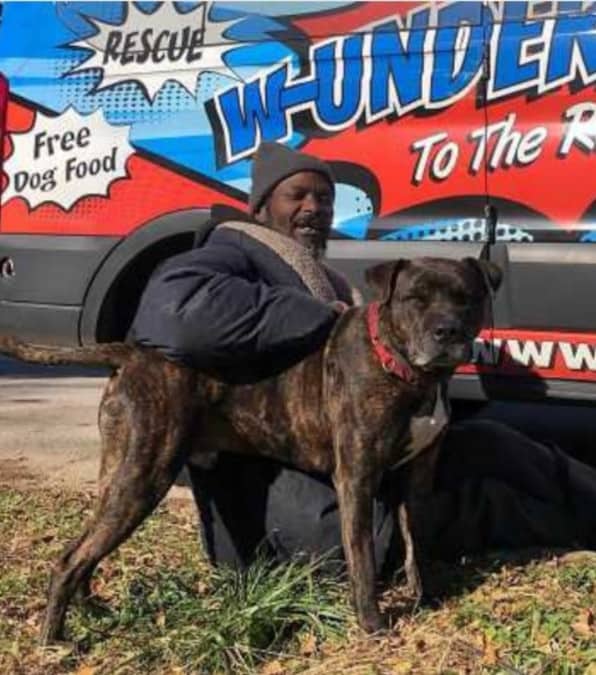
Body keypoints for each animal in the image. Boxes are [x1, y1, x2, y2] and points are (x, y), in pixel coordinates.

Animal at [0, 256, 500, 640]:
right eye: (415, 298)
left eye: (467, 299)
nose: (447, 331)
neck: (403, 369)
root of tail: (132, 352)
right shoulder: (357, 480)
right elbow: (362, 558)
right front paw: (372, 624)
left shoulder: (416, 480)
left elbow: (417, 543)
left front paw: (425, 597)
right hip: (143, 477)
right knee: (70, 559)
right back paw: (54, 639)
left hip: (118, 475)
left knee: (85, 549)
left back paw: (91, 612)